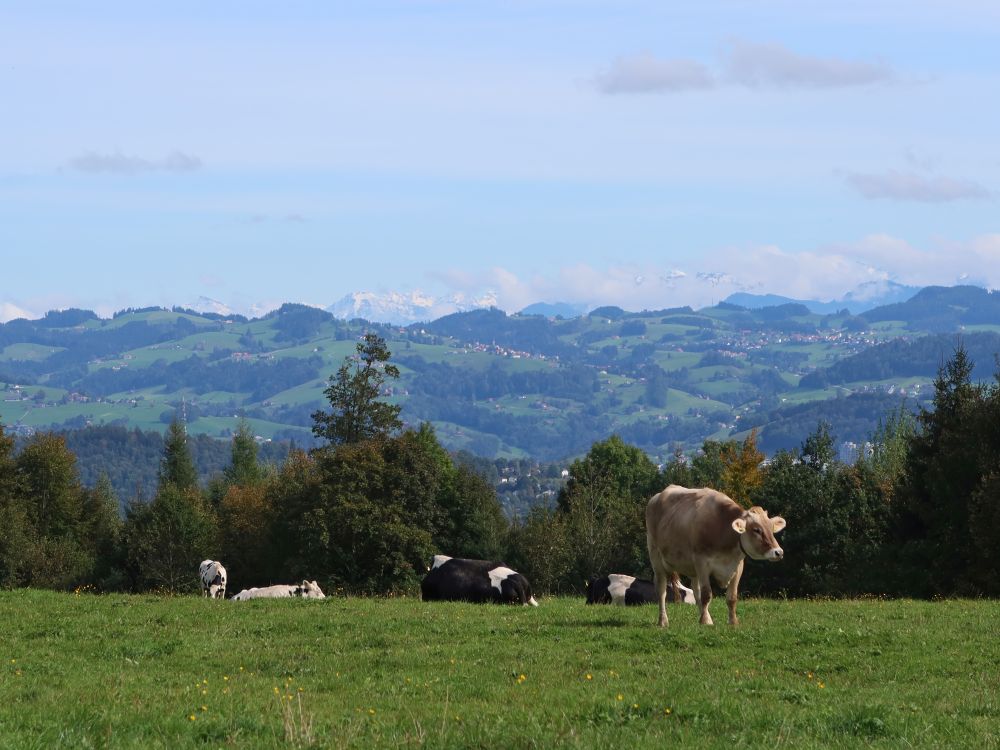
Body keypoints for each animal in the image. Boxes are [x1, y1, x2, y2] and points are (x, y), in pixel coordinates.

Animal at [644, 484, 784, 624]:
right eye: (756, 530)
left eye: (771, 528)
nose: (778, 552)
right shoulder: (702, 562)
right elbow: (707, 594)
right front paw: (705, 621)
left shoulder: (737, 566)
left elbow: (732, 597)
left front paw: (732, 622)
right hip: (656, 558)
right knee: (662, 590)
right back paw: (663, 621)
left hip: (692, 568)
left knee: (696, 590)